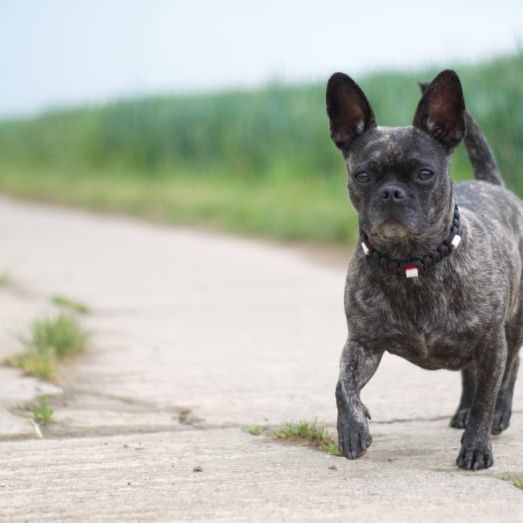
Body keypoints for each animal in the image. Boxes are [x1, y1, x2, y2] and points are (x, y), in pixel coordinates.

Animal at [328, 68, 523, 470]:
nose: (391, 193)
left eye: (424, 173)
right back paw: (461, 411)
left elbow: (486, 398)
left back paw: (499, 415)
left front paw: (476, 447)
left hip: (514, 328)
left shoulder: (492, 343)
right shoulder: (361, 344)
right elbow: (342, 385)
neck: (410, 261)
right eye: (363, 176)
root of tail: (494, 184)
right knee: (469, 375)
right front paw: (352, 429)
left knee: (508, 372)